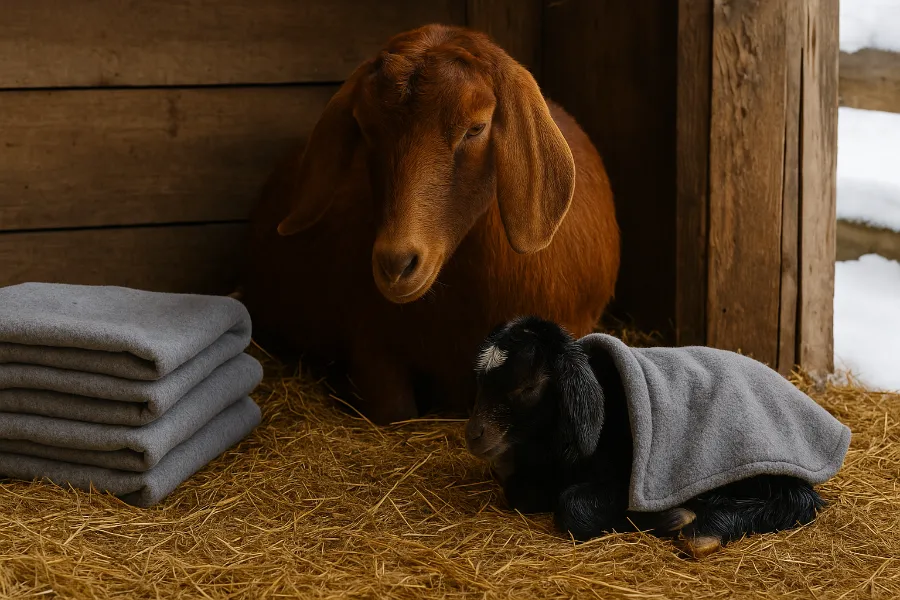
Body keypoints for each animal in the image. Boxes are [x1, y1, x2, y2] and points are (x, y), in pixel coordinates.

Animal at [465, 316, 838, 559]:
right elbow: (521, 492)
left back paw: (702, 531)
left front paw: (672, 517)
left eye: (527, 387)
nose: (473, 435)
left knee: (797, 500)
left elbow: (572, 504)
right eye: (479, 382)